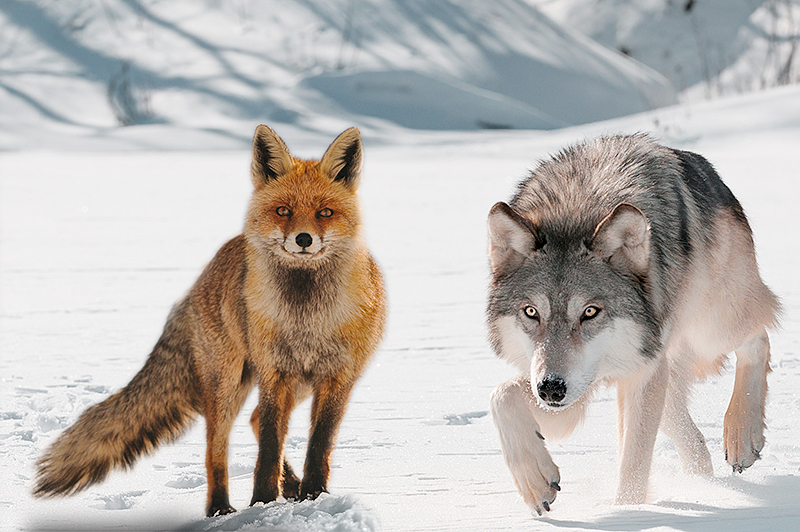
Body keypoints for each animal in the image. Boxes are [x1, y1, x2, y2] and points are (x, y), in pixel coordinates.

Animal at [33, 125, 387, 517]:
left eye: (325, 212)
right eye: (283, 210)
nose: (304, 239)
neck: (305, 316)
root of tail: (207, 269)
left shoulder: (339, 378)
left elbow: (319, 445)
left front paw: (314, 495)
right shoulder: (273, 374)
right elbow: (268, 448)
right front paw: (262, 504)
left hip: (294, 385)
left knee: (253, 420)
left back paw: (292, 487)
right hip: (229, 383)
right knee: (216, 448)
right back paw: (221, 507)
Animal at [487, 134, 779, 514]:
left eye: (590, 312)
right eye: (531, 312)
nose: (551, 389)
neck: (576, 209)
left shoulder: (635, 372)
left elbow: (634, 463)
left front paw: (628, 511)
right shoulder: (573, 389)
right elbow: (501, 396)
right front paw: (535, 482)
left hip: (710, 328)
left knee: (759, 337)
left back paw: (741, 438)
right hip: (658, 366)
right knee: (689, 434)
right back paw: (702, 480)